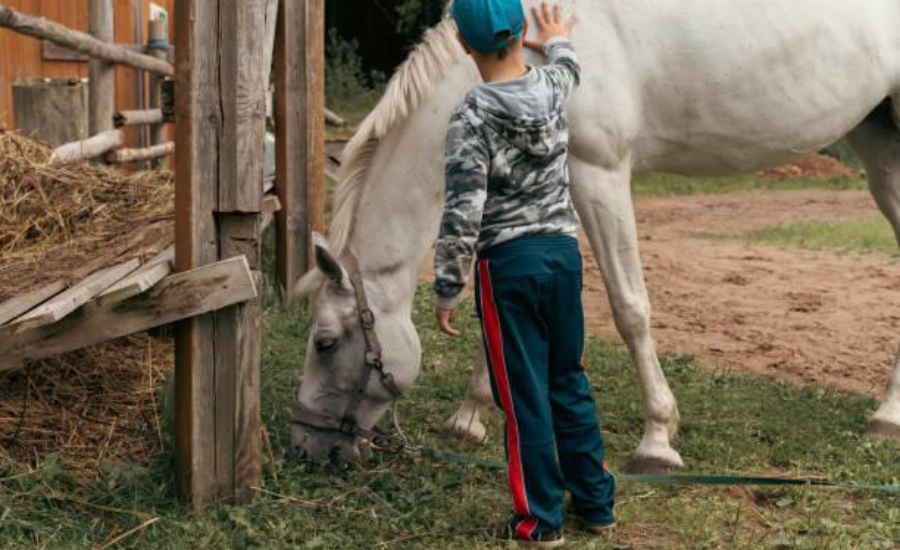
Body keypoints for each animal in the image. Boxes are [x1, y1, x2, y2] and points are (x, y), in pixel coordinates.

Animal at [292, 0, 896, 470]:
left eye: (325, 342)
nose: (306, 443)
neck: (526, 54)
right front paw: (469, 418)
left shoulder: (598, 173)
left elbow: (630, 308)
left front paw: (657, 439)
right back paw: (886, 415)